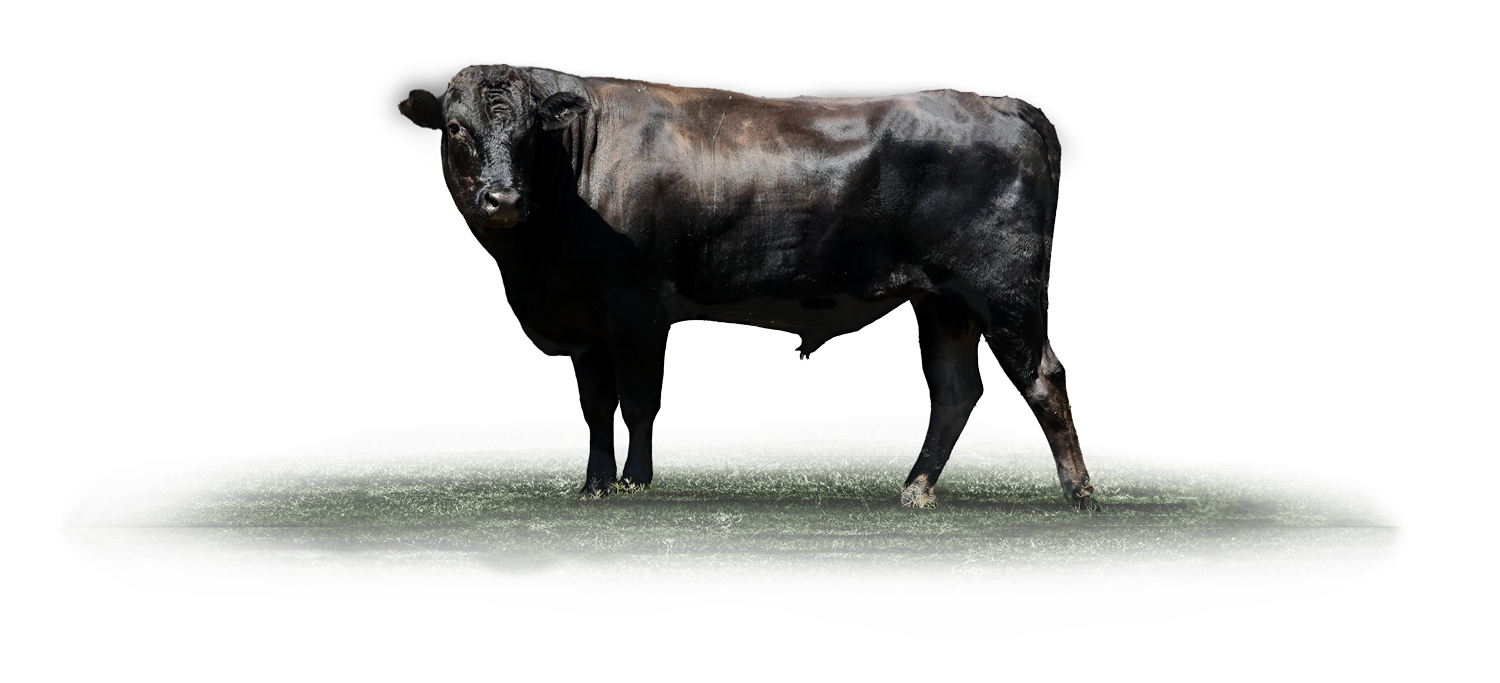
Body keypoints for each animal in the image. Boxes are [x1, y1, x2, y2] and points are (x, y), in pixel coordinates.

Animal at [398, 58, 1099, 512]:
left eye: (529, 131)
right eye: (456, 128)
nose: (504, 198)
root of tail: (997, 102)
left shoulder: (635, 309)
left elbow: (638, 400)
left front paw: (635, 485)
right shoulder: (585, 323)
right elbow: (595, 406)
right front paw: (595, 487)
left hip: (1004, 286)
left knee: (1043, 377)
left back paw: (1081, 497)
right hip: (943, 301)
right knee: (956, 392)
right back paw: (917, 492)